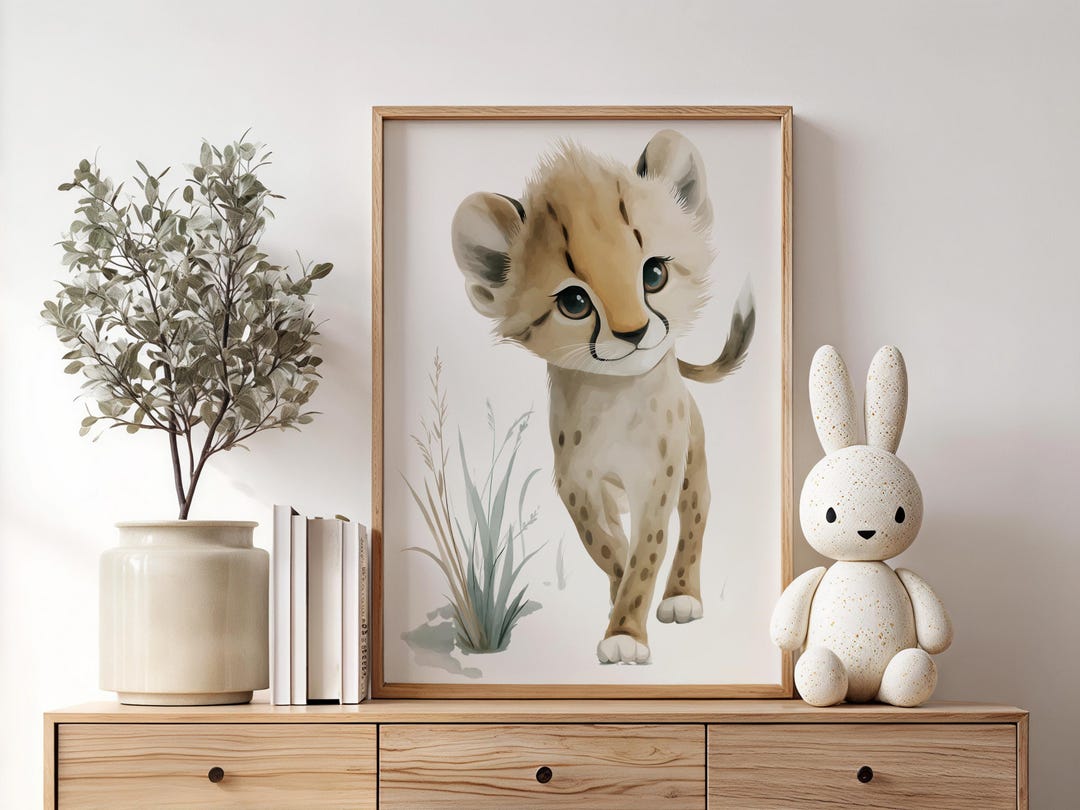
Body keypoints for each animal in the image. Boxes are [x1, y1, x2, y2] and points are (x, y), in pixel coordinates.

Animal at [450, 130, 754, 664]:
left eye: (653, 274)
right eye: (575, 302)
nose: (633, 333)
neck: (615, 397)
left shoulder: (658, 478)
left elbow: (647, 550)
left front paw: (627, 631)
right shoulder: (579, 484)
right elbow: (608, 548)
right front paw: (620, 606)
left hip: (693, 470)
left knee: (694, 522)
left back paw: (682, 595)